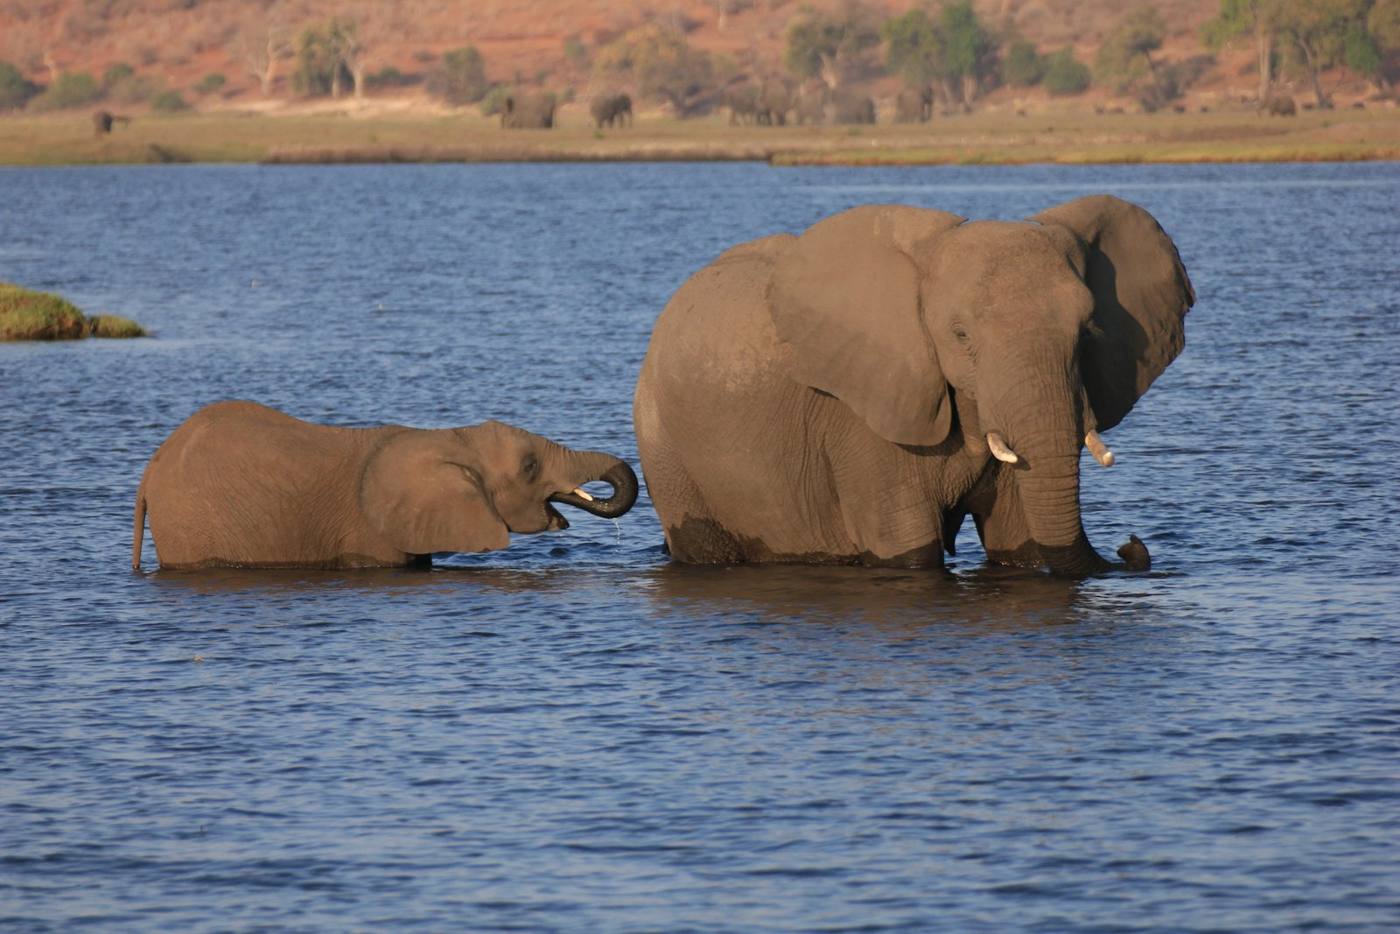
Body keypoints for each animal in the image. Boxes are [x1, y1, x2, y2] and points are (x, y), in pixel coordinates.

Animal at [633, 196, 1194, 576]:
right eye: (960, 335)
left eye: (1086, 331)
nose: (1130, 544)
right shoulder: (861, 413)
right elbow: (909, 548)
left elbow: (1020, 540)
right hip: (666, 449)